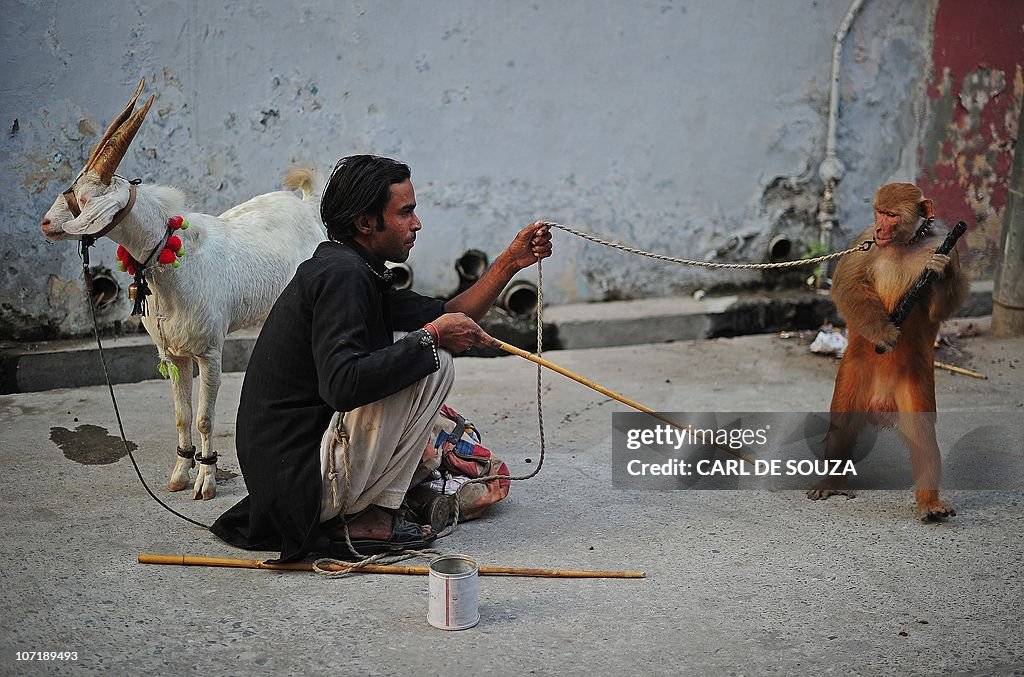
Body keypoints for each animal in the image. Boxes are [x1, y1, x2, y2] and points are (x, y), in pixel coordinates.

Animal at [40, 81, 323, 499]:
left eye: (87, 198)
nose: (45, 224)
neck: (174, 271)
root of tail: (307, 205)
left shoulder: (210, 352)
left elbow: (204, 418)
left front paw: (206, 482)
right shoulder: (173, 354)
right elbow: (181, 416)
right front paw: (179, 474)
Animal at [806, 182, 966, 520]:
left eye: (891, 215)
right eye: (878, 213)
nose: (880, 228)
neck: (903, 243)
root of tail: (880, 404)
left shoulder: (946, 248)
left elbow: (940, 306)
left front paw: (941, 271)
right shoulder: (864, 241)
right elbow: (846, 286)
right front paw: (886, 333)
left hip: (916, 383)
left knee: (922, 435)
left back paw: (930, 503)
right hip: (854, 374)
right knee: (842, 422)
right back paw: (831, 481)